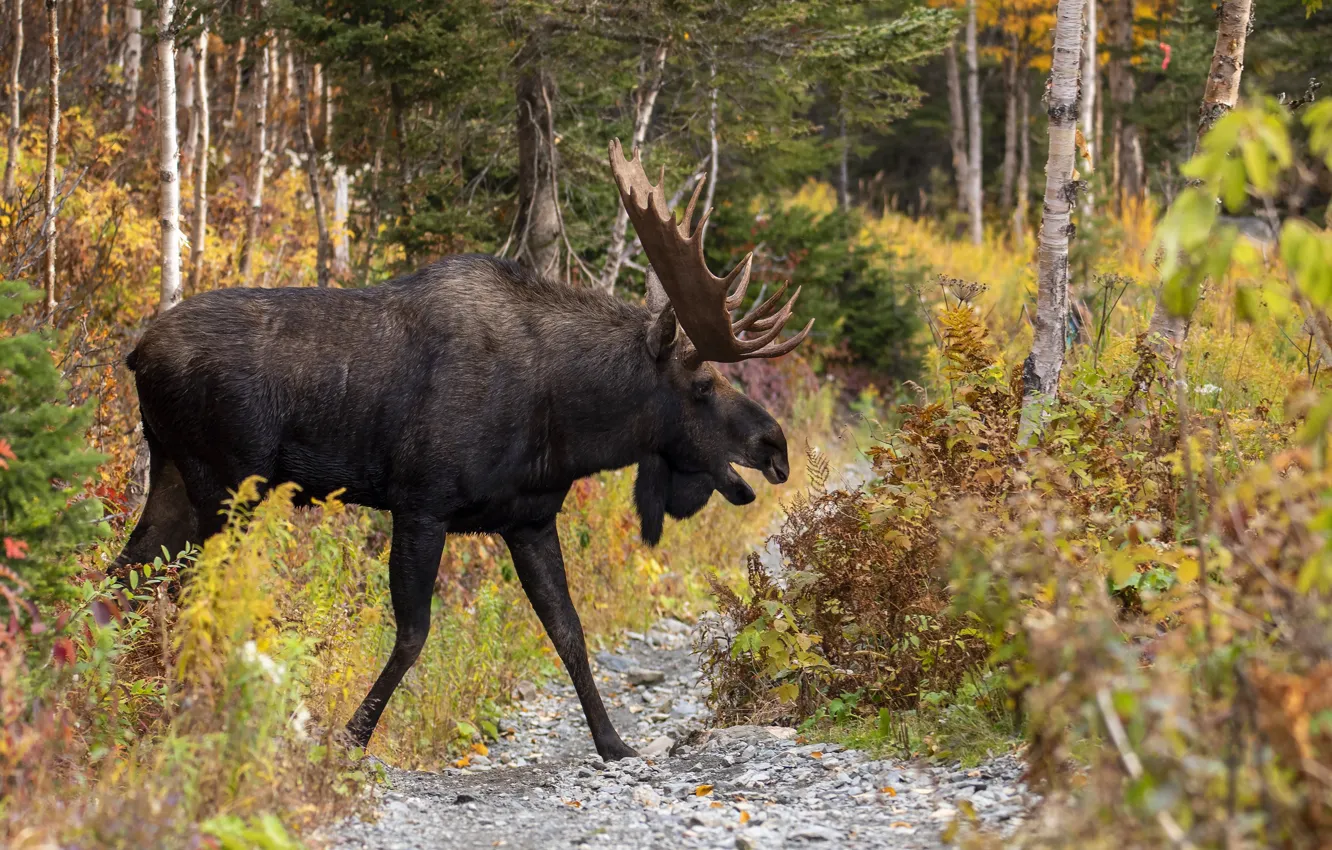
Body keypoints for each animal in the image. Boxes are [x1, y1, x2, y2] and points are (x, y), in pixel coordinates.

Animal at [113, 140, 812, 761]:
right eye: (702, 386)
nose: (776, 444)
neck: (566, 421)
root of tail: (138, 353)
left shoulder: (530, 518)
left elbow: (569, 631)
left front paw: (614, 743)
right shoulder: (421, 502)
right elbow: (414, 633)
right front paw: (350, 737)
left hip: (174, 473)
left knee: (125, 576)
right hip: (228, 481)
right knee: (192, 594)